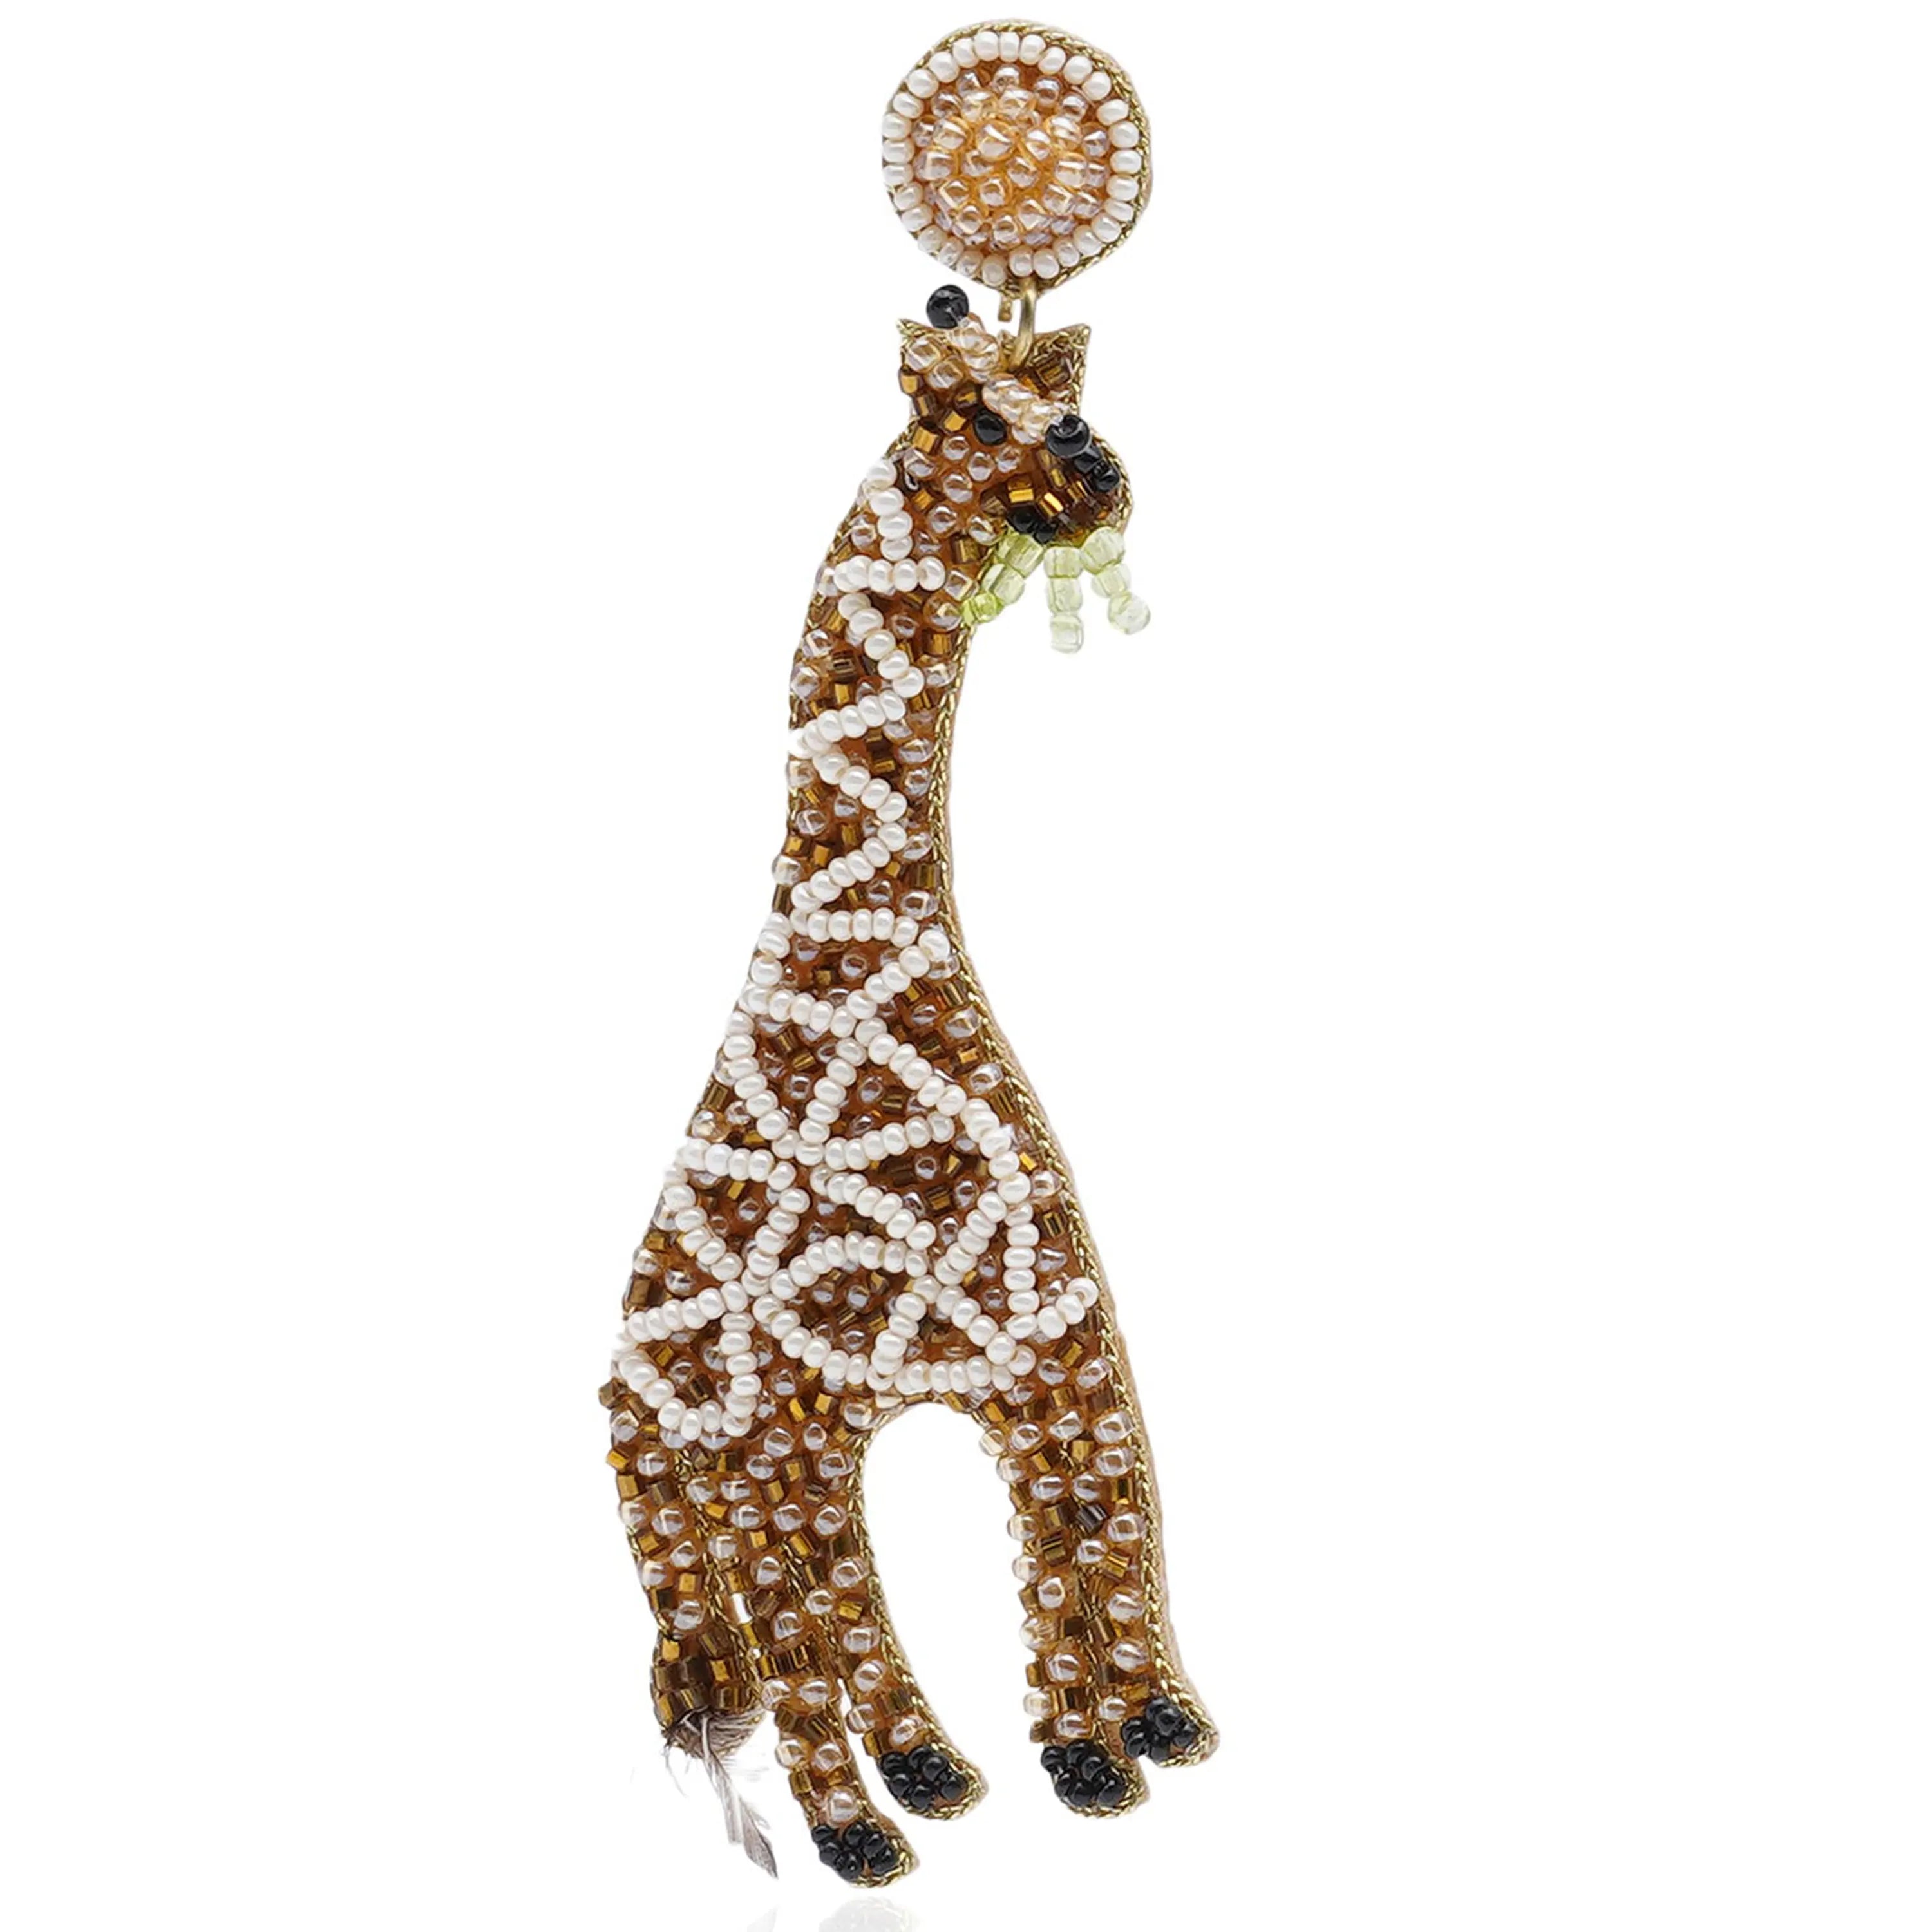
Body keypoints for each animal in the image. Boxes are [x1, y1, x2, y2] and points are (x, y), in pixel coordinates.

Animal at [602, 290, 1216, 1886]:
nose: (1098, 478)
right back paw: (860, 1839)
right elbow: (1076, 1537)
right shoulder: (1022, 1342)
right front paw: (1092, 1752)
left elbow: (1093, 1523)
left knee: (828, 1619)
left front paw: (1142, 1730)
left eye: (1062, 399)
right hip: (748, 1460)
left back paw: (933, 1779)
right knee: (797, 1652)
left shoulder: (1047, 1343)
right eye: (975, 419)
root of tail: (617, 1394)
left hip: (780, 1469)